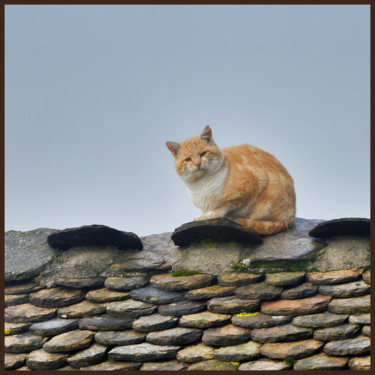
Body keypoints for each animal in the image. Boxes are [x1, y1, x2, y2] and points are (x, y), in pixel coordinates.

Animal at [167, 126, 296, 235]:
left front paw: (213, 213)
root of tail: (291, 218)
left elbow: (227, 205)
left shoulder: (253, 183)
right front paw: (202, 216)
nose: (197, 164)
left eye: (203, 153)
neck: (201, 185)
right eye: (188, 159)